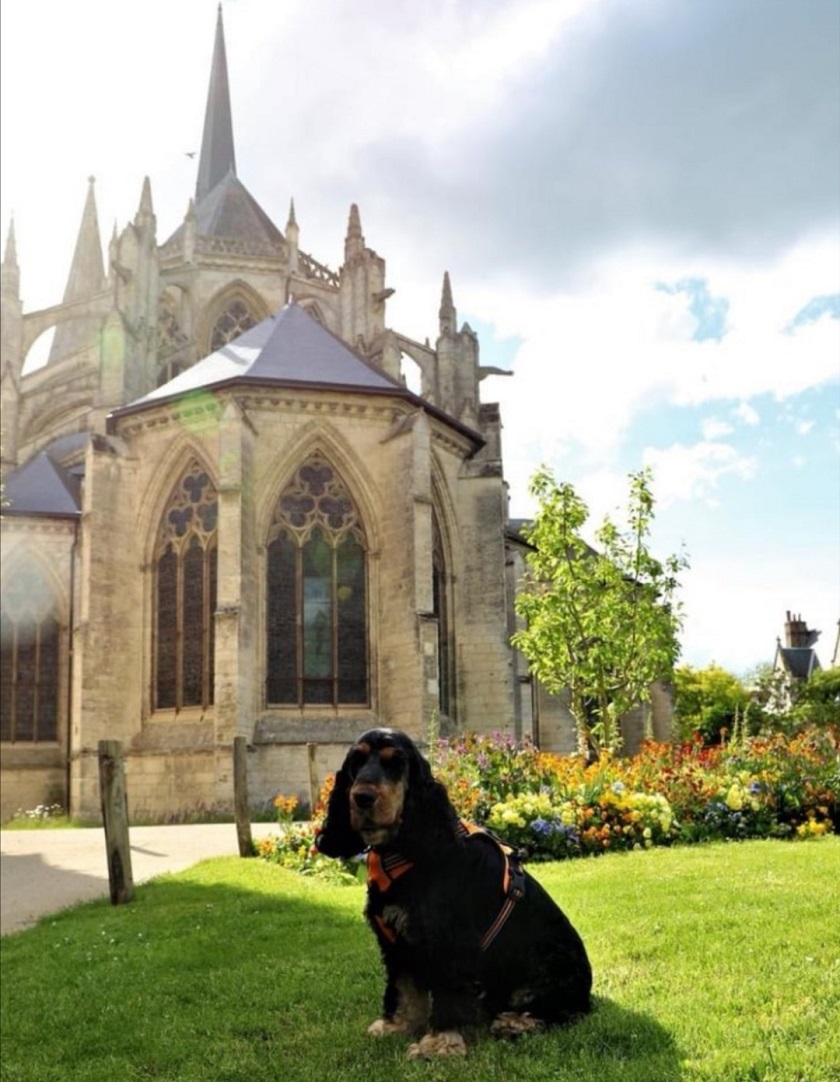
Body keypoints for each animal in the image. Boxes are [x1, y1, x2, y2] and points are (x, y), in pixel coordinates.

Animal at [313, 727, 588, 1056]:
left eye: (396, 764)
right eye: (357, 761)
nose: (362, 797)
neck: (404, 850)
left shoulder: (449, 942)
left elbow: (446, 994)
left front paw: (438, 1045)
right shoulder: (397, 943)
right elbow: (405, 991)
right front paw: (397, 1026)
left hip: (551, 969)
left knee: (561, 1011)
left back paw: (514, 1022)